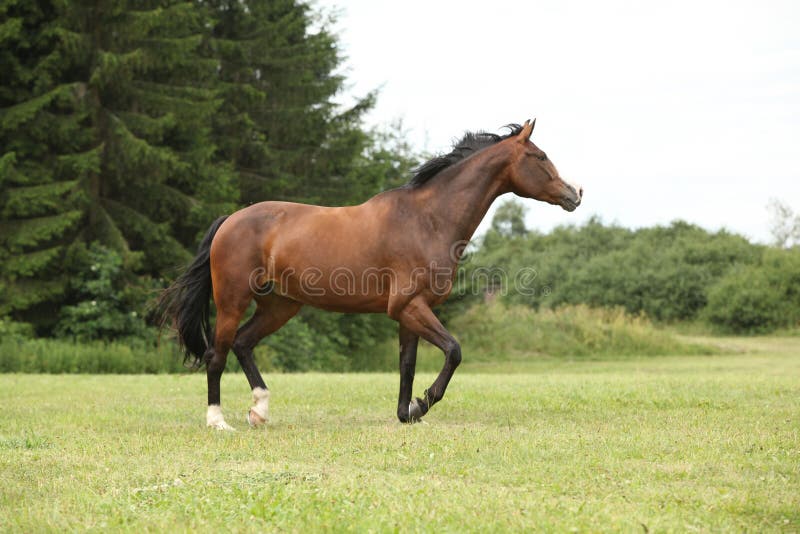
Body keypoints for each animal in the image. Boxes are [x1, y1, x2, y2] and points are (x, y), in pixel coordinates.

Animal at [156, 121, 580, 432]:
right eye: (540, 156)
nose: (574, 194)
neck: (427, 220)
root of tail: (231, 219)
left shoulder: (410, 312)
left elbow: (407, 364)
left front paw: (406, 412)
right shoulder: (410, 307)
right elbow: (454, 351)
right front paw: (423, 403)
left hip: (280, 306)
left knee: (244, 344)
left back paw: (259, 410)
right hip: (232, 300)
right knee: (216, 354)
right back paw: (218, 421)